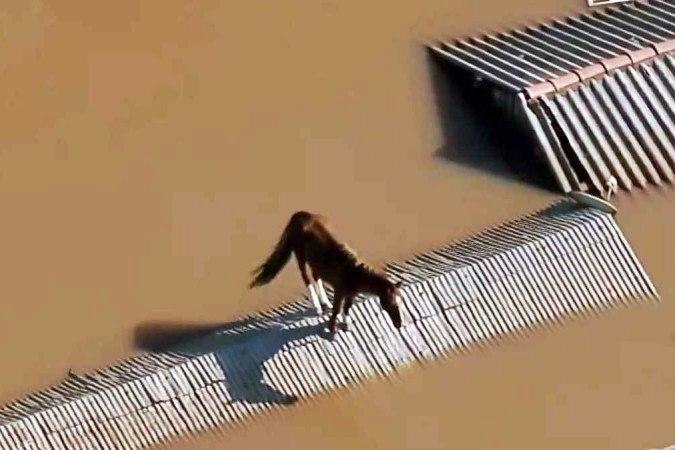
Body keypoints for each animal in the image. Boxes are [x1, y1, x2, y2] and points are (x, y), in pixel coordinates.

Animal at [249, 211, 403, 333]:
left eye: (399, 301)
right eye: (389, 303)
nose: (399, 324)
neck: (353, 273)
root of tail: (299, 214)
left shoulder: (351, 294)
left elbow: (346, 308)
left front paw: (346, 324)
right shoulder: (340, 291)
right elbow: (337, 309)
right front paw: (332, 329)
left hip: (314, 261)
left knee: (316, 276)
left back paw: (324, 302)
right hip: (300, 255)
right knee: (306, 277)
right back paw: (317, 306)